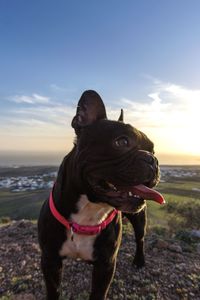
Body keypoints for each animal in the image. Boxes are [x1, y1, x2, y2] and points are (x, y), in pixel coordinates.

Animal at [38, 90, 164, 300]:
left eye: (153, 149)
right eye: (122, 141)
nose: (153, 159)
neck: (89, 210)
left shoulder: (105, 265)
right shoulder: (50, 261)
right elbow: (53, 291)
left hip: (140, 219)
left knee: (140, 239)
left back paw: (139, 261)